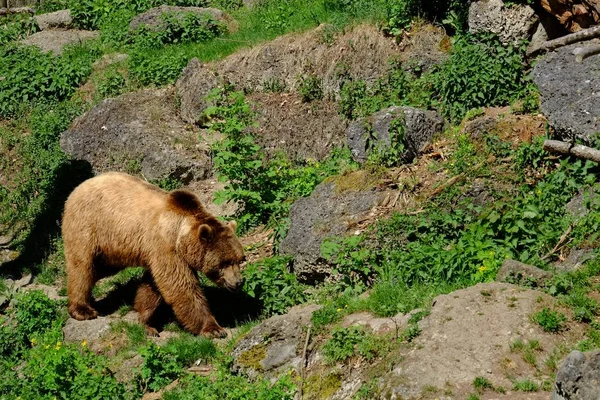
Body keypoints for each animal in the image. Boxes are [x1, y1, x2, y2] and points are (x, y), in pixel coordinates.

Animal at [61, 172, 244, 338]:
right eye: (225, 262)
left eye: (240, 259)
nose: (238, 282)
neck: (180, 232)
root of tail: (77, 188)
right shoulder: (165, 246)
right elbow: (181, 287)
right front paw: (213, 328)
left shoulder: (156, 253)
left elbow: (152, 287)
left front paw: (146, 323)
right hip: (89, 226)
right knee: (82, 267)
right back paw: (83, 309)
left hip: (110, 251)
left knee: (97, 270)